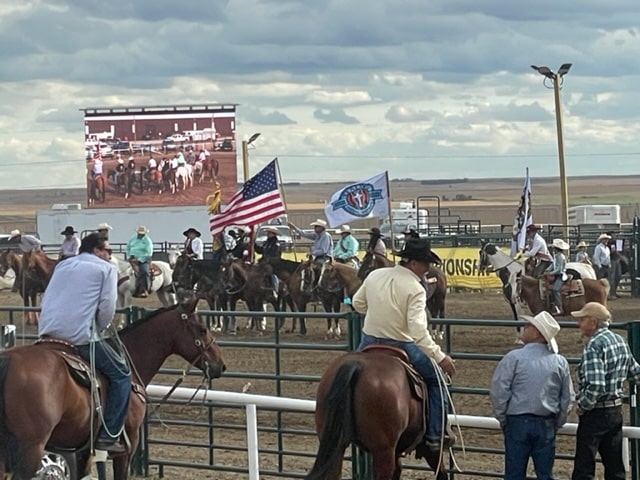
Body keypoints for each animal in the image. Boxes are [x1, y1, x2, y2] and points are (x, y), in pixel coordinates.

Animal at [0, 300, 226, 480]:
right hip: (31, 448)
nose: (220, 365)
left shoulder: (82, 451)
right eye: (202, 329)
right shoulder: (127, 447)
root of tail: (9, 359)